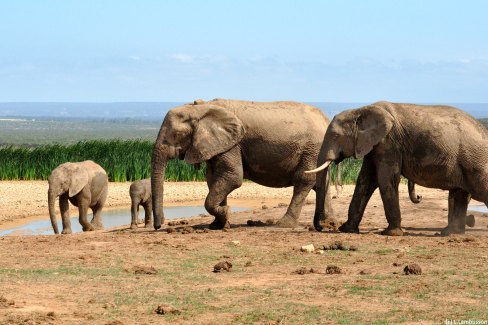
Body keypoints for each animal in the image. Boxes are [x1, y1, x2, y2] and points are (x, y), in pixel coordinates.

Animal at [152, 97, 336, 229]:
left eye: (176, 134)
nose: (159, 226)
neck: (202, 108)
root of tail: (325, 119)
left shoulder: (233, 144)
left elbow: (232, 177)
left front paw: (226, 215)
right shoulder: (220, 145)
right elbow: (213, 178)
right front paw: (218, 224)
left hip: (312, 149)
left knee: (304, 180)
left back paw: (283, 225)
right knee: (321, 183)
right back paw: (327, 224)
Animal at [308, 101, 488, 235]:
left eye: (335, 136)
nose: (322, 227)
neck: (361, 110)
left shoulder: (389, 143)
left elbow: (385, 180)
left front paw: (391, 233)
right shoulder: (374, 146)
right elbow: (364, 181)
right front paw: (347, 229)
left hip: (475, 159)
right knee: (460, 193)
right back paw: (450, 233)